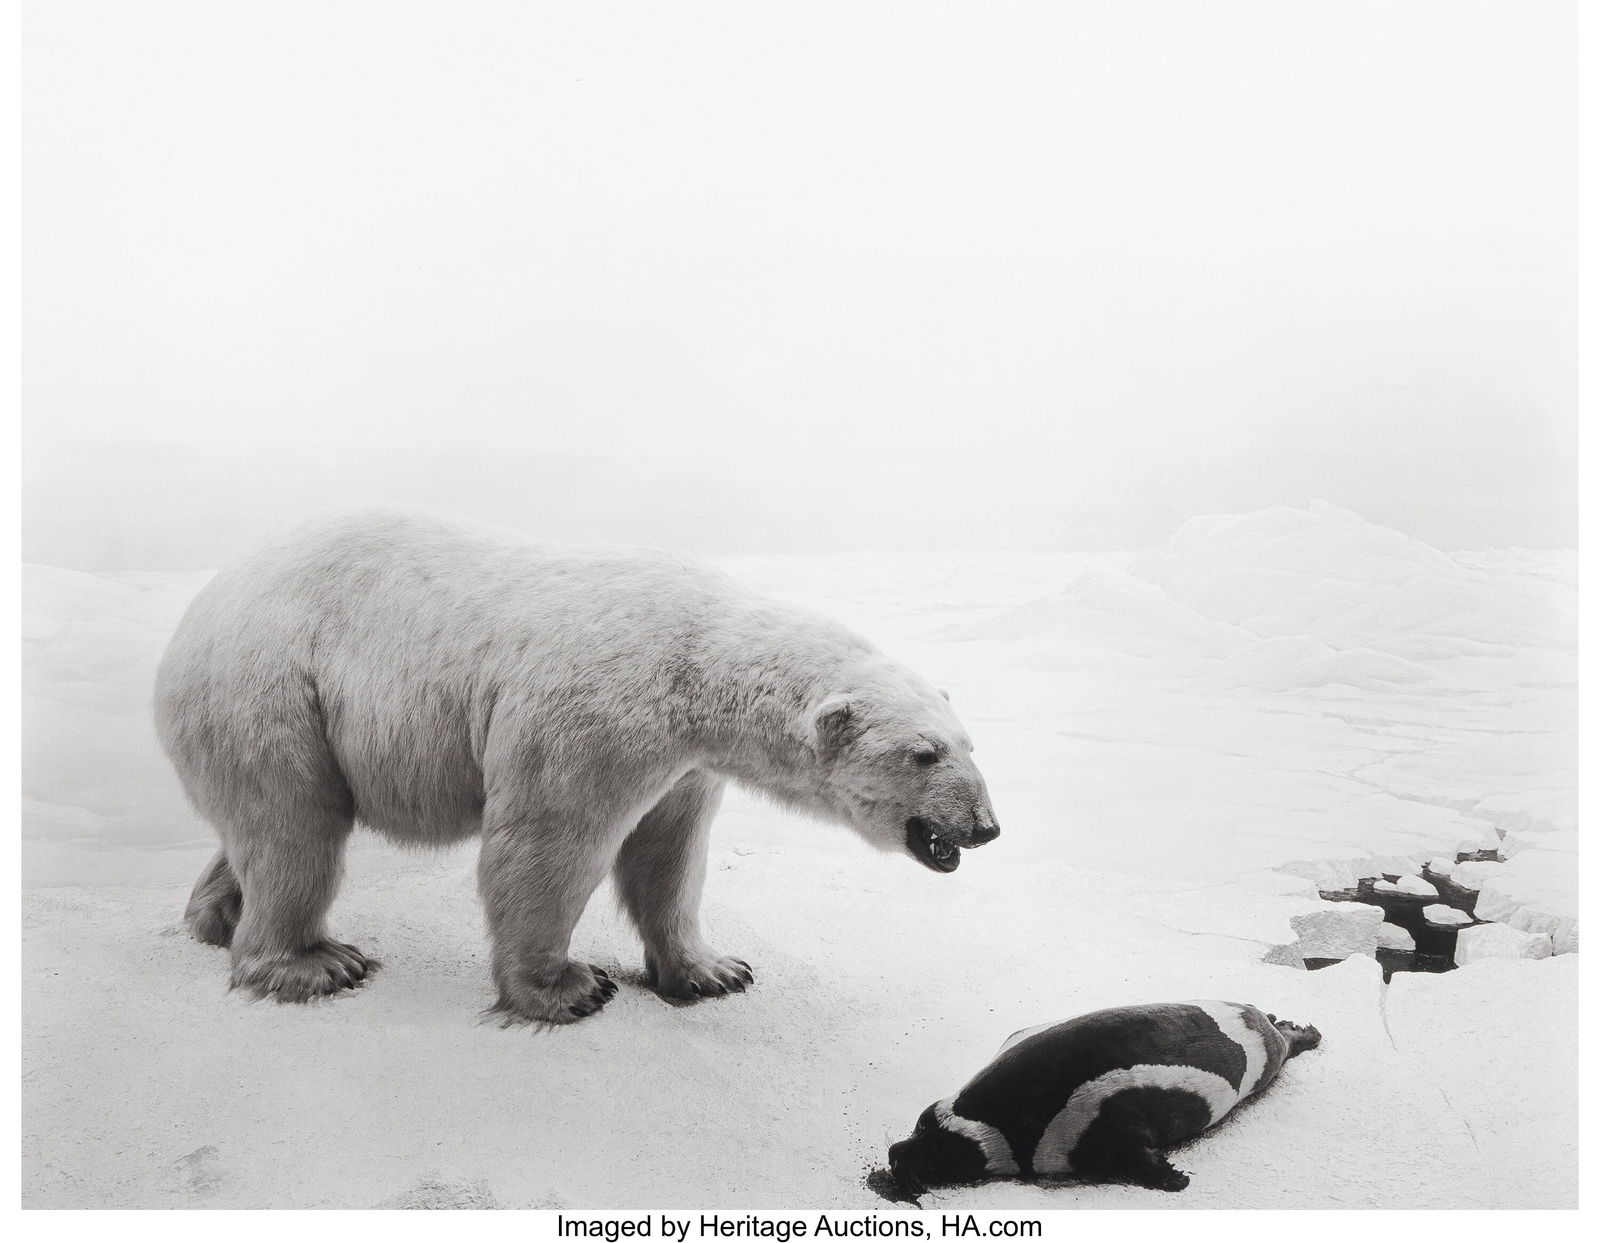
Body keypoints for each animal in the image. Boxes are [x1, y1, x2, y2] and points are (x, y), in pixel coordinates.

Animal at [153, 507, 1001, 1024]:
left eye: (969, 742)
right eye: (924, 753)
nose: (986, 825)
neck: (700, 661)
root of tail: (194, 614)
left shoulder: (685, 763)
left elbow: (670, 856)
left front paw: (715, 969)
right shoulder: (597, 712)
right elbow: (549, 842)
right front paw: (567, 986)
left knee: (264, 826)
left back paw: (216, 916)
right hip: (273, 688)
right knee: (296, 827)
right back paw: (313, 962)